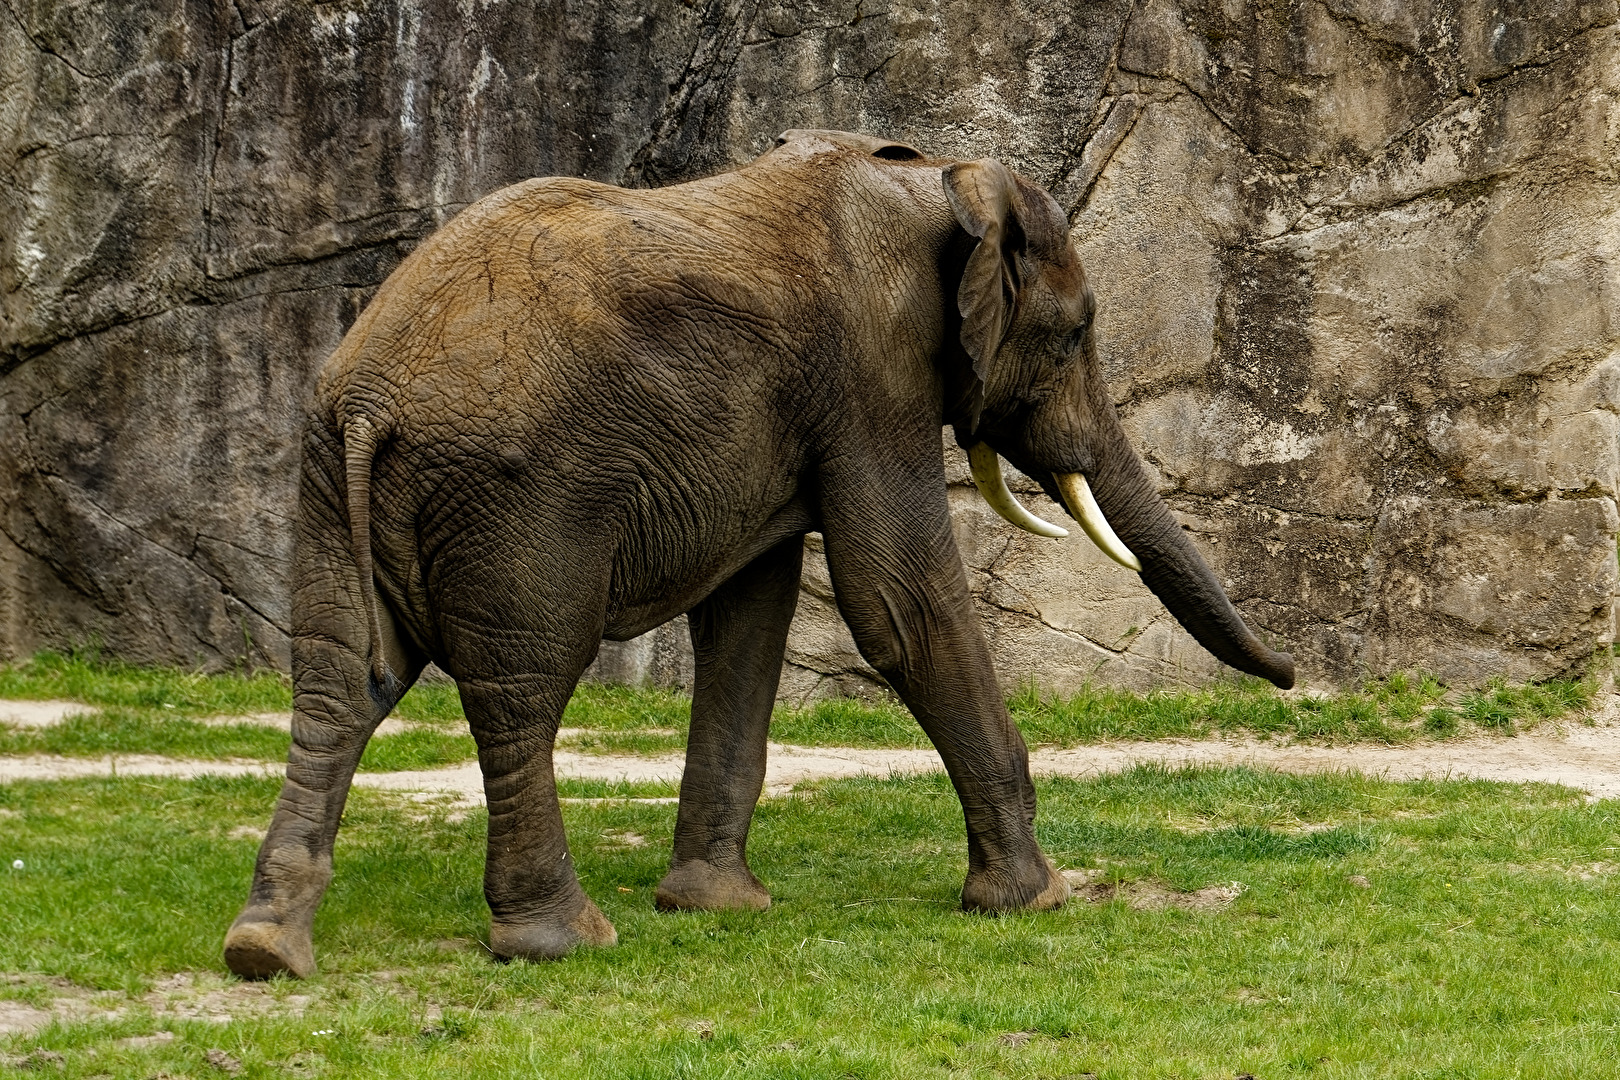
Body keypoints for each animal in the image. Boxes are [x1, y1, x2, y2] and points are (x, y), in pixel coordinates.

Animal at [223, 128, 1294, 979]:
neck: (937, 177)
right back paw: (564, 941)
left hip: (326, 480)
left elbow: (748, 617)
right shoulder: (875, 370)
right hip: (520, 496)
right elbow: (900, 601)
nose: (1290, 677)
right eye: (1075, 336)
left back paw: (266, 949)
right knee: (520, 687)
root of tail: (371, 396)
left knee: (341, 680)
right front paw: (1034, 898)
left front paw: (713, 907)